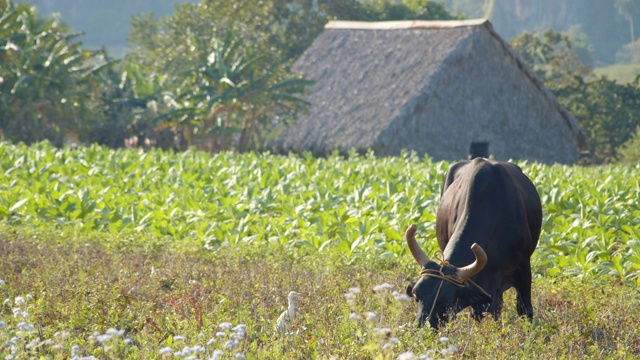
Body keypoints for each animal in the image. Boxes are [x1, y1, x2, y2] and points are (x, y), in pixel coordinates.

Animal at [404, 158, 540, 330]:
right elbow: (479, 314)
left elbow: (525, 309)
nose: (422, 328)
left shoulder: (523, 268)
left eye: (447, 302)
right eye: (417, 296)